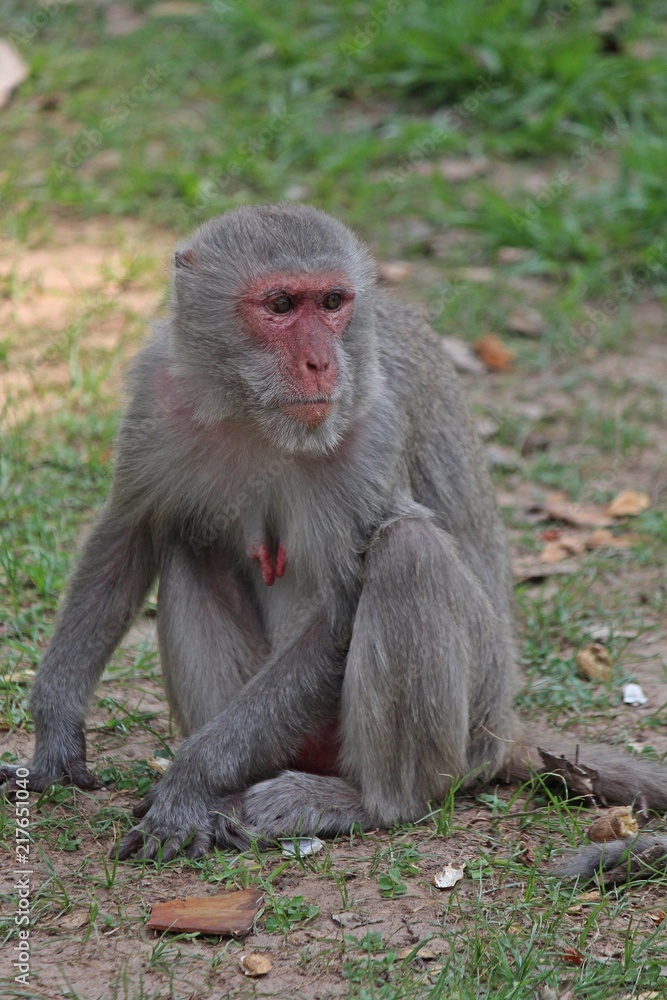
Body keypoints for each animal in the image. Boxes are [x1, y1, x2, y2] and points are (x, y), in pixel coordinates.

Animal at [2, 205, 664, 876]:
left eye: (332, 302)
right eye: (281, 304)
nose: (321, 363)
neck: (252, 412)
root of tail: (505, 727)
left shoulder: (370, 428)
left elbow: (342, 610)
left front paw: (189, 780)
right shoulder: (158, 395)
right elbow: (129, 532)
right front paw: (55, 734)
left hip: (471, 715)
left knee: (407, 553)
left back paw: (371, 803)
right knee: (189, 542)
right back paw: (231, 797)